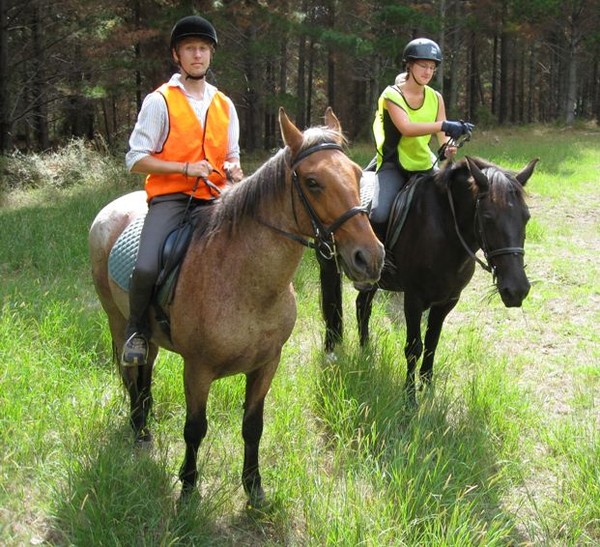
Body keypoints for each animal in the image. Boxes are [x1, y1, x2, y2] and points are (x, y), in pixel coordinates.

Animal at [89, 107, 384, 506]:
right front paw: (188, 488)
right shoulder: (197, 370)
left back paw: (144, 421)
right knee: (130, 370)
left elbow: (252, 427)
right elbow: (195, 429)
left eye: (355, 174)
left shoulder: (266, 364)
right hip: (119, 322)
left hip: (148, 333)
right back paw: (138, 428)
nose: (370, 257)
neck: (244, 280)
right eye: (312, 182)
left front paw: (254, 488)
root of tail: (110, 210)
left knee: (145, 367)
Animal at [316, 156, 536, 404]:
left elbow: (432, 342)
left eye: (526, 217)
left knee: (363, 307)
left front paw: (428, 387)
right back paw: (331, 353)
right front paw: (410, 398)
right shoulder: (413, 300)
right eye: (488, 217)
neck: (445, 231)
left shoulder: (447, 301)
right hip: (329, 267)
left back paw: (366, 353)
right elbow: (414, 347)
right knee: (331, 307)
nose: (517, 290)